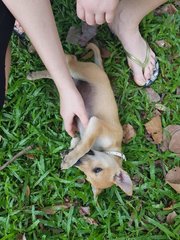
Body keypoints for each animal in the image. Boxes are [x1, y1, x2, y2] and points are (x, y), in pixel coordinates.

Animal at [27, 44, 133, 198]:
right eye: (98, 170)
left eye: (91, 172)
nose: (77, 162)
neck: (111, 149)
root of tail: (100, 68)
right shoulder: (96, 123)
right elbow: (86, 145)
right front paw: (70, 159)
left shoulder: (82, 134)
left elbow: (78, 143)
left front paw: (68, 155)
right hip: (79, 70)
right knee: (69, 58)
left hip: (73, 78)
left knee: (59, 74)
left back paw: (34, 73)